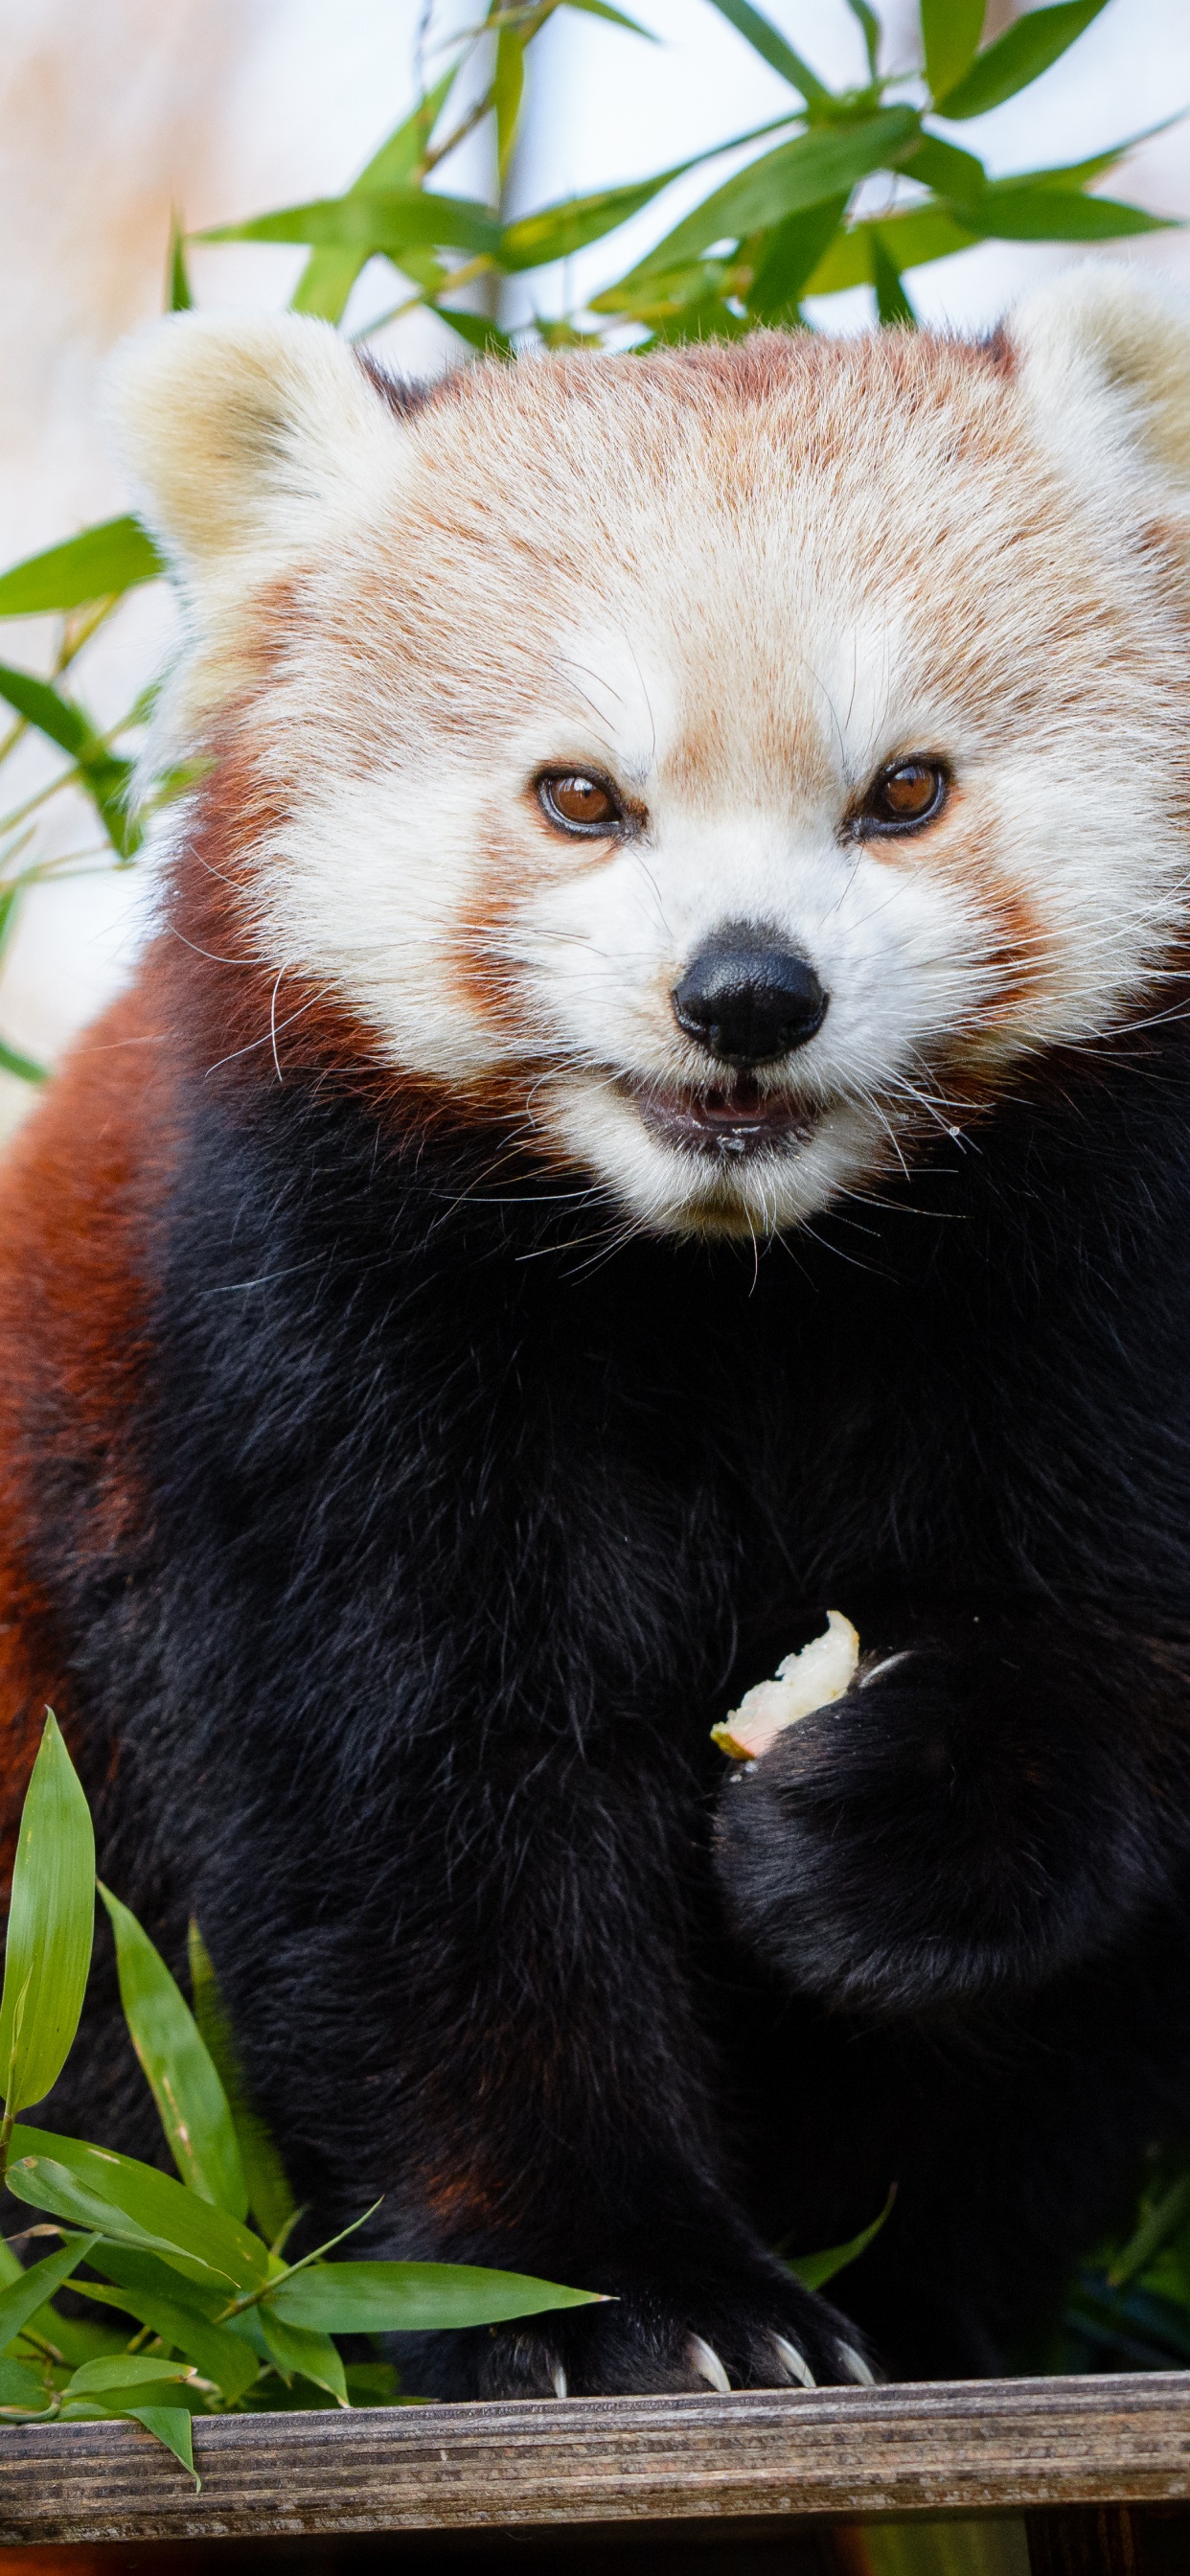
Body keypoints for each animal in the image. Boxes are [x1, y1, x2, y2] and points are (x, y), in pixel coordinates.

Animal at [1, 267, 1190, 2399]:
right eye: (582, 798)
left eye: (903, 792)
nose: (747, 993)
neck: (736, 1278)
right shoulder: (297, 1335)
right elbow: (410, 1821)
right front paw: (620, 2289)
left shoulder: (1097, 1280)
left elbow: (1103, 1664)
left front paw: (853, 1830)